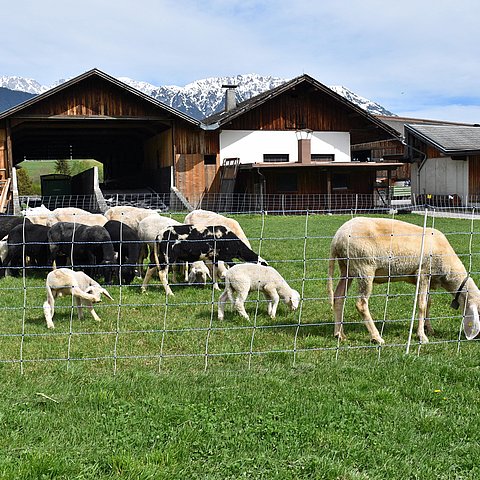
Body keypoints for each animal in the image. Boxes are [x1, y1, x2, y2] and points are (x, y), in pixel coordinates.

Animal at [328, 218, 480, 344]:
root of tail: (337, 238)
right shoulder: (423, 273)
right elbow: (422, 305)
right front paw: (422, 336)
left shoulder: (427, 279)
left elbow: (429, 303)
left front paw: (429, 328)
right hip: (364, 267)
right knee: (361, 303)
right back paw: (376, 337)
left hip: (347, 269)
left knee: (339, 297)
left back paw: (339, 334)